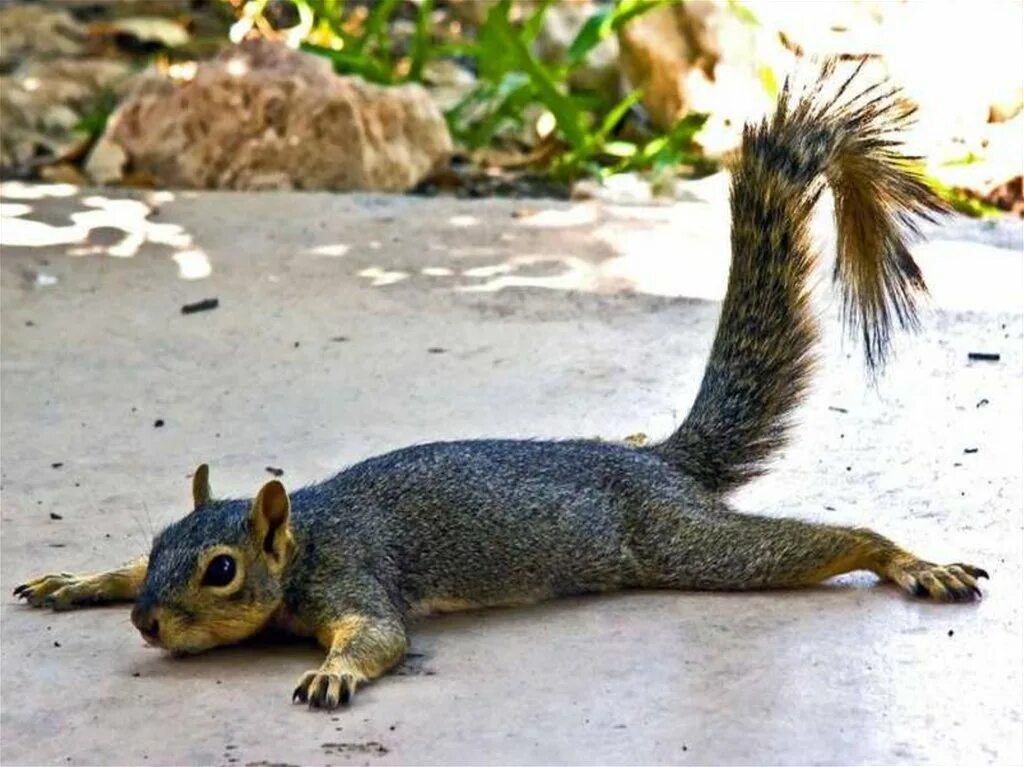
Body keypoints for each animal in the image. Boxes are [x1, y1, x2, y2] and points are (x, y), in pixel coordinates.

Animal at [12, 61, 987, 712]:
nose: (146, 623)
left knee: (809, 544)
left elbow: (383, 637)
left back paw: (907, 559)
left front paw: (332, 670)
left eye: (221, 569)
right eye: (159, 541)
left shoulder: (356, 576)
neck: (307, 538)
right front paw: (81, 581)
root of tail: (658, 464)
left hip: (681, 541)